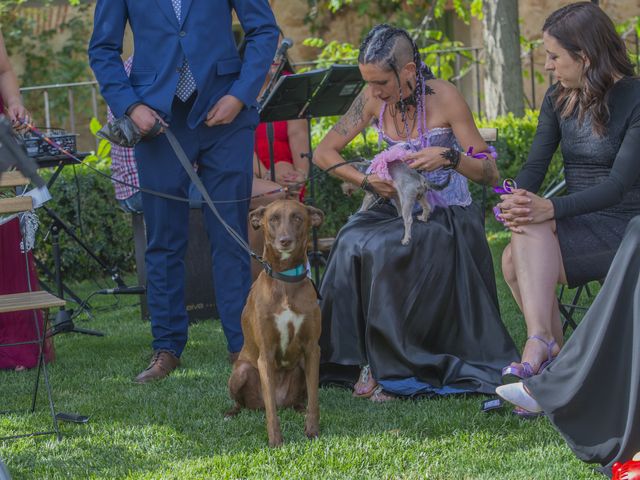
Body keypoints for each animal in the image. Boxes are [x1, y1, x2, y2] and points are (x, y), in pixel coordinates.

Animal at [226, 199, 324, 446]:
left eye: (298, 217)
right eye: (273, 219)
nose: (285, 240)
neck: (286, 280)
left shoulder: (312, 350)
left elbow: (314, 400)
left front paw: (312, 431)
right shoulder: (266, 354)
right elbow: (271, 412)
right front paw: (276, 441)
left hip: (302, 366)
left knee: (300, 399)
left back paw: (298, 408)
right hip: (241, 371)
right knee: (248, 403)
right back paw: (231, 413)